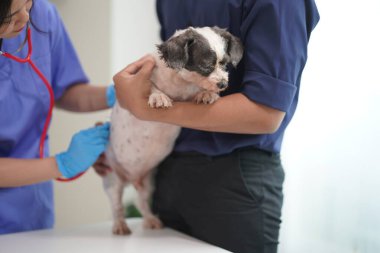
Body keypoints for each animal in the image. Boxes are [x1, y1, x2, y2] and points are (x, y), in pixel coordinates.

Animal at [103, 26, 243, 234]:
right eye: (205, 66)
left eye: (225, 64)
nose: (223, 84)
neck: (180, 82)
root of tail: (132, 178)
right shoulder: (144, 77)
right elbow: (152, 87)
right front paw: (159, 97)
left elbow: (197, 91)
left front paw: (206, 94)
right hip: (113, 179)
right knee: (116, 206)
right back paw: (120, 224)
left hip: (148, 183)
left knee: (141, 203)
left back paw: (150, 220)